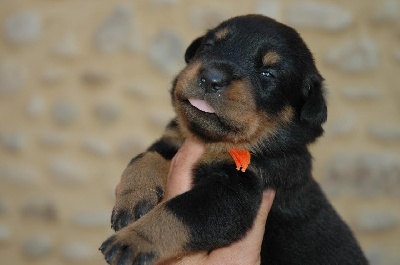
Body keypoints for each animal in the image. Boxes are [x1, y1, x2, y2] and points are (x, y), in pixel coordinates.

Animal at [100, 14, 368, 264]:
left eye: (267, 72)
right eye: (208, 46)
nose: (211, 77)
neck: (212, 143)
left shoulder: (239, 192)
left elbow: (178, 213)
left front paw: (133, 240)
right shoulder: (174, 139)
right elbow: (145, 157)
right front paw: (134, 196)